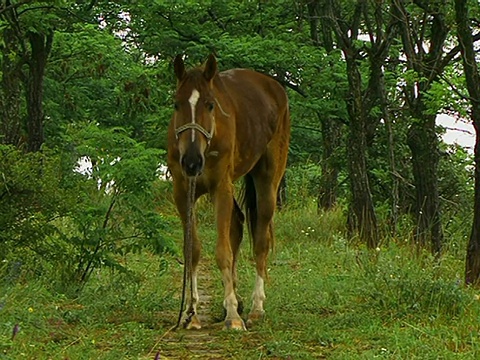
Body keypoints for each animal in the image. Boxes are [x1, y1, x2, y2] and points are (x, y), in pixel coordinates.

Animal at [167, 53, 290, 330]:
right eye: (177, 104)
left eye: (211, 105)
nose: (191, 162)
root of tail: (274, 87)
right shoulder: (182, 192)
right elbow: (192, 250)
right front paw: (191, 312)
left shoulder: (220, 188)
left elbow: (223, 251)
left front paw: (233, 316)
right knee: (237, 224)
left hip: (268, 180)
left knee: (260, 240)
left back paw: (256, 308)